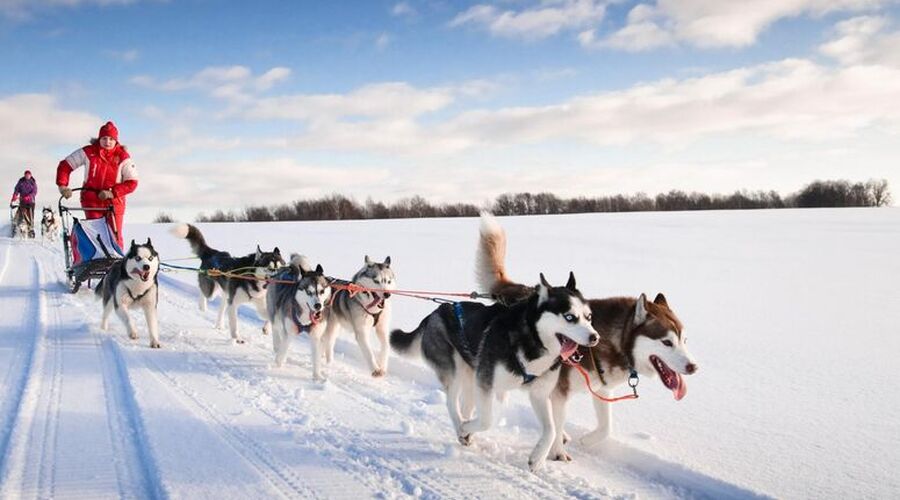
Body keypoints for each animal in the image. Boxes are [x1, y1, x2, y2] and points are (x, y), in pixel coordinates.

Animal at [392, 272, 596, 470]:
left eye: (589, 317)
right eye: (570, 317)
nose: (595, 337)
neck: (532, 340)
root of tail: (434, 313)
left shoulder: (538, 393)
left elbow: (551, 429)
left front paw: (538, 458)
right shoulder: (485, 383)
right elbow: (487, 420)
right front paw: (465, 428)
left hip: (472, 377)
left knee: (466, 405)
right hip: (455, 371)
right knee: (452, 403)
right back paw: (461, 427)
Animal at [474, 212, 700, 460]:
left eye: (684, 341)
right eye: (667, 342)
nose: (693, 367)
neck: (611, 342)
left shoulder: (602, 389)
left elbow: (605, 428)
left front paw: (586, 440)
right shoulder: (559, 392)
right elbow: (557, 423)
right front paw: (557, 452)